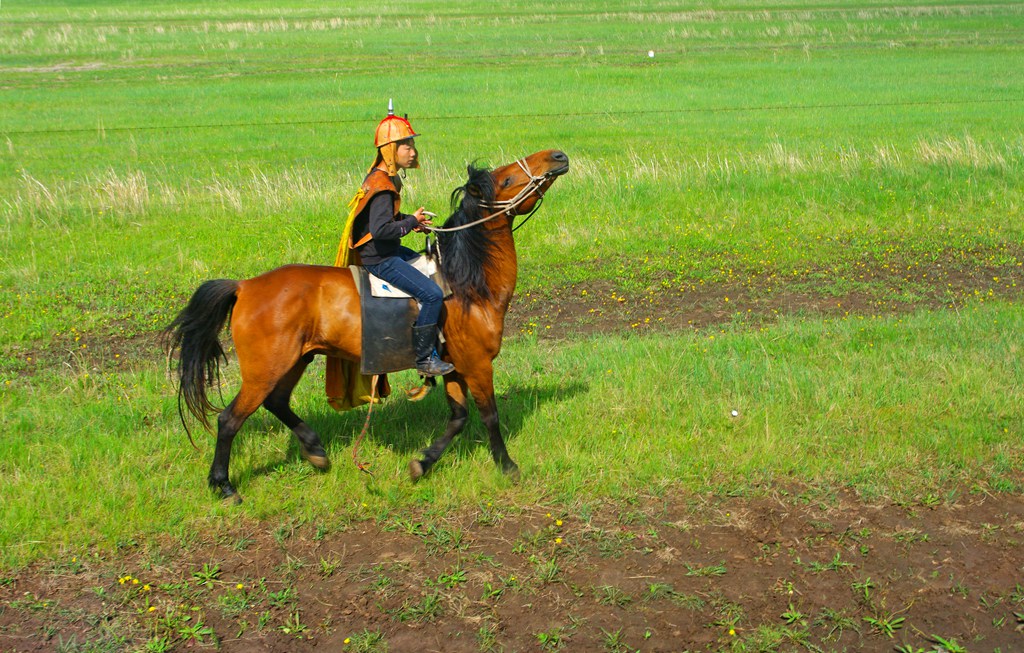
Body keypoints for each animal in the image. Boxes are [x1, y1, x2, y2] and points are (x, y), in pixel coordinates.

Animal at [163, 151, 573, 503]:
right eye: (506, 179)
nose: (557, 156)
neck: (465, 282)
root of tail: (245, 286)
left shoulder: (455, 367)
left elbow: (458, 419)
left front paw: (421, 464)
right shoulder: (477, 364)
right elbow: (489, 416)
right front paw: (508, 467)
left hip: (295, 360)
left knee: (276, 402)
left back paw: (315, 451)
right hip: (265, 369)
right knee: (229, 419)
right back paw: (224, 485)